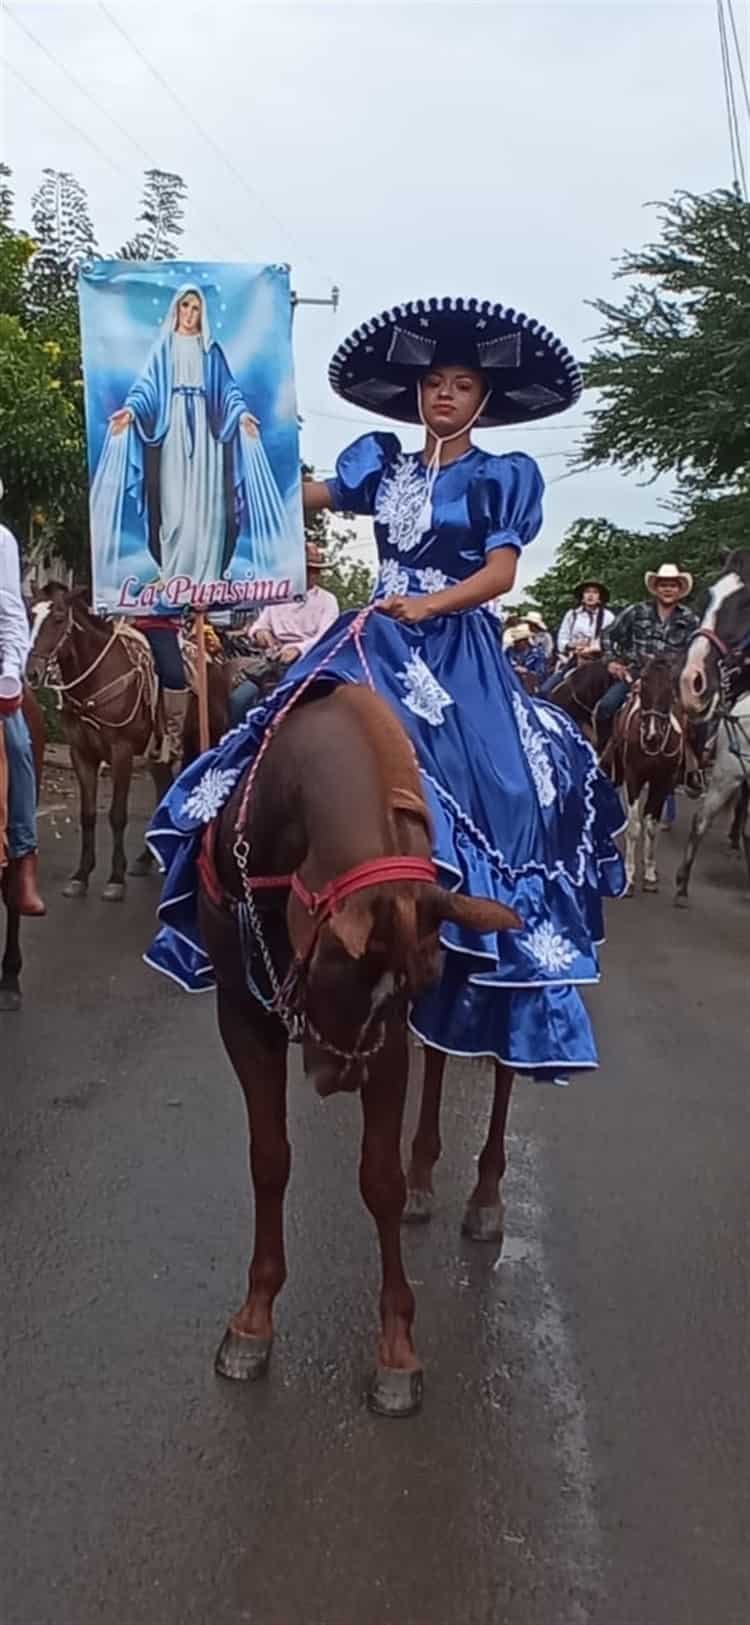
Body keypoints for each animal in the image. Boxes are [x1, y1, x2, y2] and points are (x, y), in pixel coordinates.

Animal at [28, 585, 167, 903]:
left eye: (57, 618)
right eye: (30, 615)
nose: (31, 673)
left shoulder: (122, 752)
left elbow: (116, 815)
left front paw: (115, 878)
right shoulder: (82, 754)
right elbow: (88, 814)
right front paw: (81, 875)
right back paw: (146, 858)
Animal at [196, 679, 519, 1417]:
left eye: (401, 988)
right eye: (337, 971)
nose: (334, 1076)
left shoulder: (388, 1041)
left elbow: (379, 1180)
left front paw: (396, 1349)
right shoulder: (241, 1016)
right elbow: (269, 1160)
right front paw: (253, 1319)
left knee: (503, 1069)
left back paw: (484, 1196)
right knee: (441, 1061)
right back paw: (429, 1175)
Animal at [603, 653, 685, 897]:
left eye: (670, 686)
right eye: (645, 683)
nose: (652, 735)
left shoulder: (662, 781)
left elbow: (650, 827)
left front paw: (649, 874)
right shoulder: (634, 778)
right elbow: (634, 827)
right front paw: (629, 877)